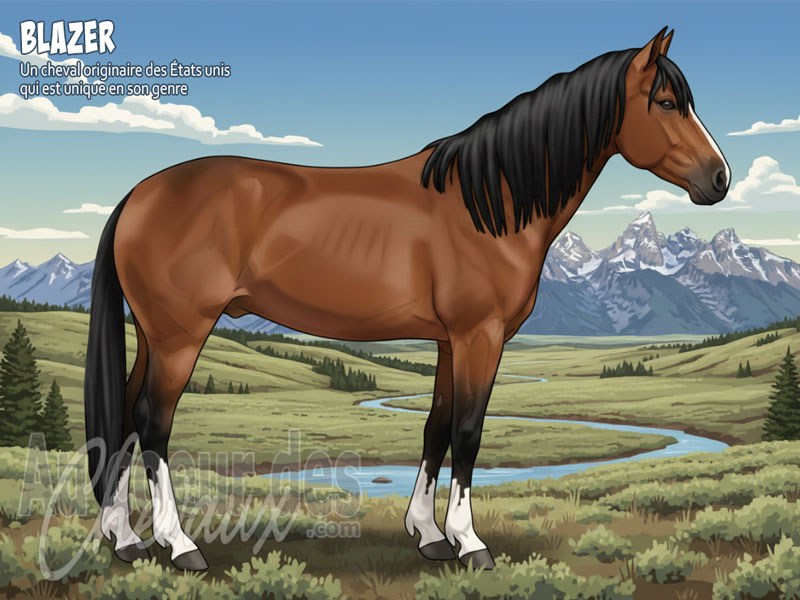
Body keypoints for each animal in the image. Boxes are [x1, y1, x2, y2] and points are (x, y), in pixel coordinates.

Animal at [84, 27, 729, 571]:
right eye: (666, 102)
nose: (719, 179)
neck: (486, 203)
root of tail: (140, 194)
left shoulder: (449, 340)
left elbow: (435, 429)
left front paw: (429, 535)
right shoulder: (479, 335)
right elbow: (468, 433)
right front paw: (470, 543)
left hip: (154, 333)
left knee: (125, 416)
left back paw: (125, 538)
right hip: (180, 334)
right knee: (154, 421)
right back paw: (179, 544)